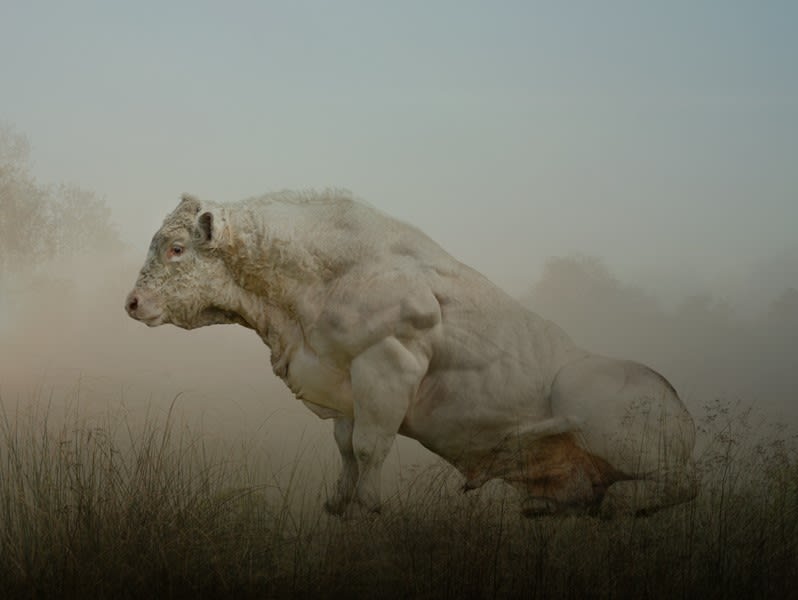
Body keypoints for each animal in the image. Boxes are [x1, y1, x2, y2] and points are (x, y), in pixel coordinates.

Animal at [126, 191, 697, 518]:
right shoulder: (346, 381)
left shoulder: (389, 362)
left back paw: (619, 502)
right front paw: (339, 503)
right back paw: (543, 504)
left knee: (679, 486)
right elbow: (346, 447)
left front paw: (371, 507)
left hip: (602, 411)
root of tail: (677, 401)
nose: (131, 303)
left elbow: (370, 447)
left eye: (176, 249)